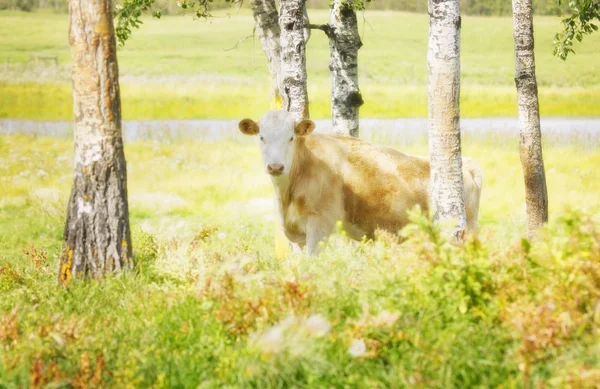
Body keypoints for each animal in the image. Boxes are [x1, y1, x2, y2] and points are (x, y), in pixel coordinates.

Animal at [239, 110, 482, 255]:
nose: (275, 167)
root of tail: (467, 165)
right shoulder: (296, 234)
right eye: (262, 137)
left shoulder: (320, 227)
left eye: (291, 137)